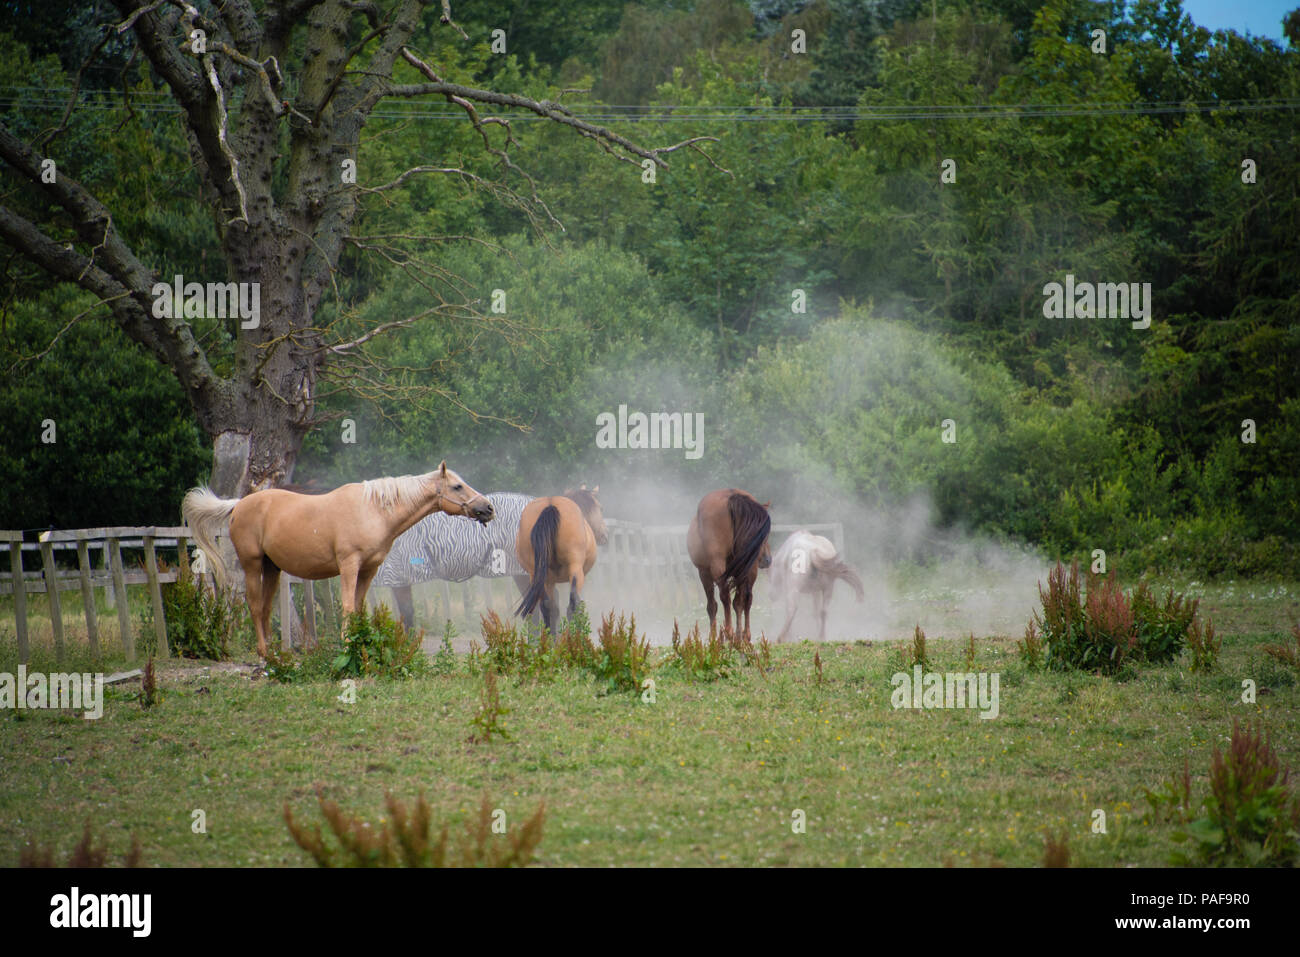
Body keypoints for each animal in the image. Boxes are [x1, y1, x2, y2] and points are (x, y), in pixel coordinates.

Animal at [188, 457, 496, 655]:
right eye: (457, 487)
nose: (487, 508)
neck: (373, 510)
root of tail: (239, 504)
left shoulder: (368, 570)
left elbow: (358, 608)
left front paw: (359, 644)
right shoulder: (349, 566)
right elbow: (347, 607)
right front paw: (347, 646)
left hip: (272, 568)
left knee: (264, 608)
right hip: (252, 565)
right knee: (253, 605)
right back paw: (264, 653)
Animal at [512, 486, 608, 634]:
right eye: (601, 508)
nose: (605, 535)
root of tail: (550, 506)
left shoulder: (550, 581)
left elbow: (554, 609)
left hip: (537, 576)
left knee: (547, 607)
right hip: (575, 569)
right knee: (573, 605)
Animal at [691, 488, 769, 639]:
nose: (767, 559)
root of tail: (733, 496)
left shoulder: (704, 572)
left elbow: (712, 606)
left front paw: (713, 637)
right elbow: (739, 602)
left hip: (718, 566)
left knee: (725, 596)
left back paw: (728, 632)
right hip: (750, 568)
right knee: (745, 599)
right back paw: (744, 636)